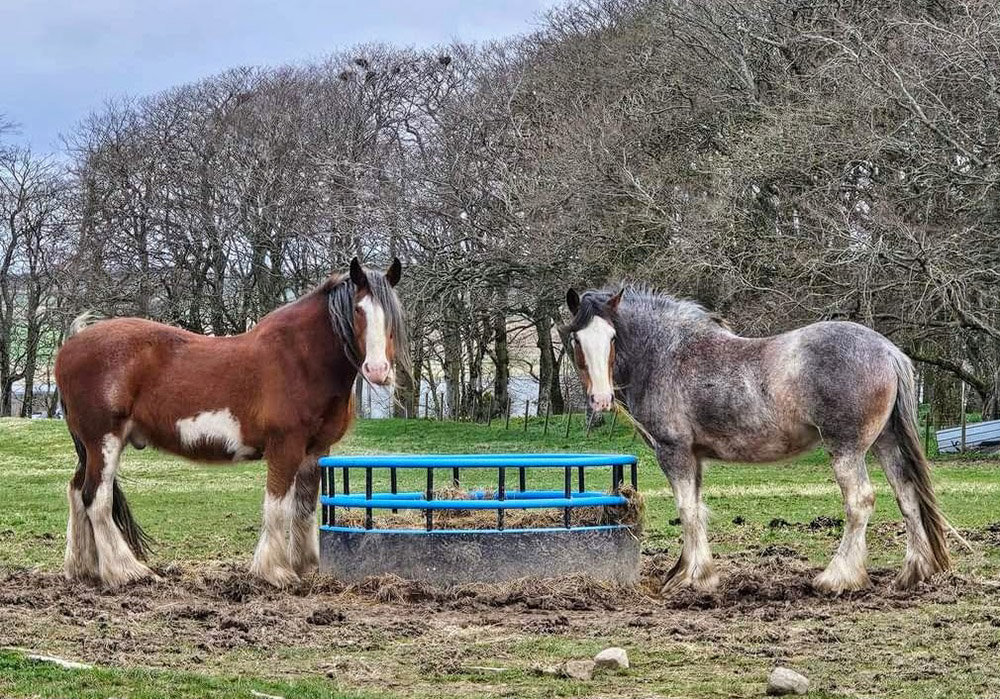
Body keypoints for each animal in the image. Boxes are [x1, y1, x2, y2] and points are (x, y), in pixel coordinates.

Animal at [54, 258, 404, 584]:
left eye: (391, 314)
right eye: (357, 310)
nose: (377, 370)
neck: (301, 359)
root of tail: (72, 344)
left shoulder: (316, 451)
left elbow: (304, 508)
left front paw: (306, 567)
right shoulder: (285, 447)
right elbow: (278, 506)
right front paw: (276, 571)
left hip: (90, 447)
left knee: (76, 492)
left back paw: (83, 569)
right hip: (104, 441)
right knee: (96, 499)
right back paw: (126, 571)